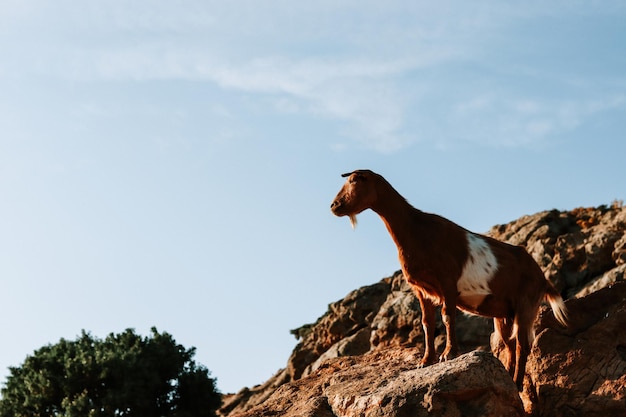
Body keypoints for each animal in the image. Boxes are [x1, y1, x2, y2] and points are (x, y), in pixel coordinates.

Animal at [332, 168, 564, 386]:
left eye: (354, 180)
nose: (334, 205)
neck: (416, 231)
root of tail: (542, 278)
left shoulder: (448, 282)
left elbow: (447, 316)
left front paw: (449, 354)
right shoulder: (421, 289)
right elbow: (427, 322)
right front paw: (426, 360)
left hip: (526, 304)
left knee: (523, 346)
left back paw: (516, 382)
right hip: (504, 314)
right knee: (509, 344)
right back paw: (508, 377)